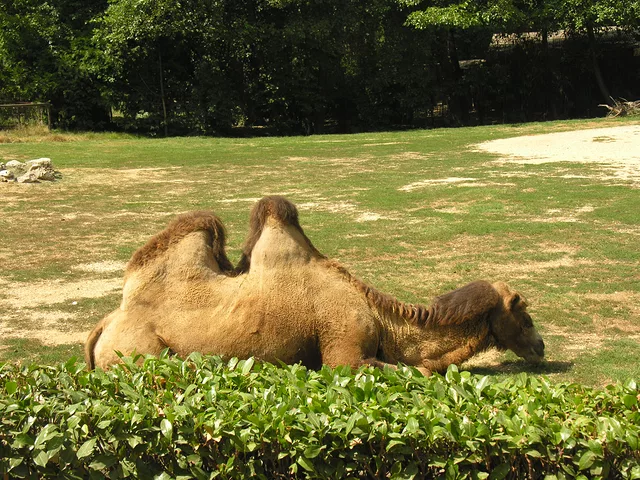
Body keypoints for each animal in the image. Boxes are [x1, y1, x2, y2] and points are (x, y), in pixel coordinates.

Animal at [85, 196, 545, 374]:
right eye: (524, 314)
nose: (541, 347)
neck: (379, 314)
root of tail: (105, 325)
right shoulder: (344, 350)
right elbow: (416, 373)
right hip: (139, 356)